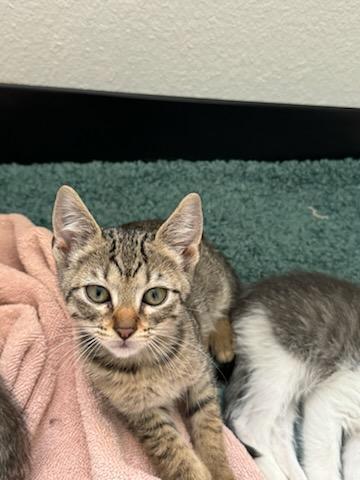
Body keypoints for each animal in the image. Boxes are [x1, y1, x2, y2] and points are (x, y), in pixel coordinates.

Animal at [52, 187, 240, 480]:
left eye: (155, 296)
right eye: (97, 293)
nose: (125, 329)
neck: (146, 364)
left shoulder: (201, 379)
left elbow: (210, 429)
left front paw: (221, 470)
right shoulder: (141, 413)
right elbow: (173, 451)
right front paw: (193, 471)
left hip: (218, 284)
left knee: (226, 305)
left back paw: (222, 342)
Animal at [225, 272, 360, 480]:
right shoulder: (332, 397)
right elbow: (324, 462)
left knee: (277, 431)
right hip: (281, 365)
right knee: (249, 425)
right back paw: (273, 473)